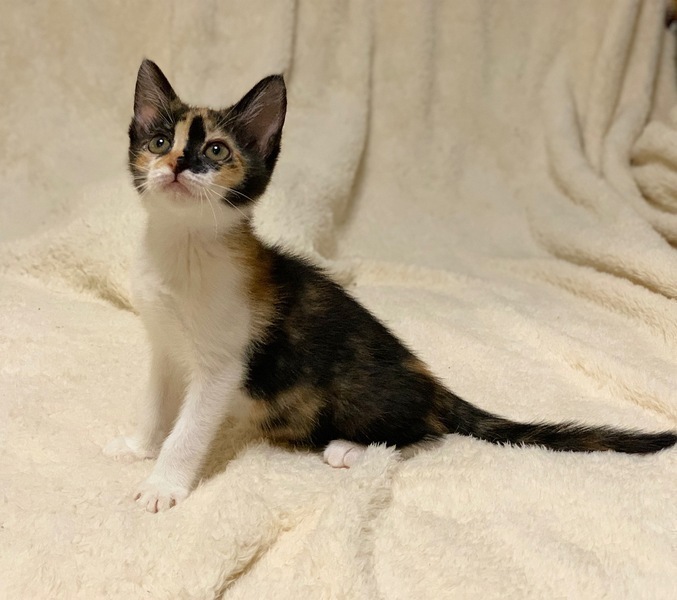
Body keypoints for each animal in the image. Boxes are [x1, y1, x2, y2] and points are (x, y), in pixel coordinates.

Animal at [105, 59, 676, 513]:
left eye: (217, 151)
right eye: (159, 142)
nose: (177, 164)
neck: (182, 247)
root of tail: (433, 384)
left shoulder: (224, 364)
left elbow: (190, 428)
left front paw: (163, 485)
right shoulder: (163, 342)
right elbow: (156, 399)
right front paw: (139, 445)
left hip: (357, 389)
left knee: (428, 432)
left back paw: (354, 448)